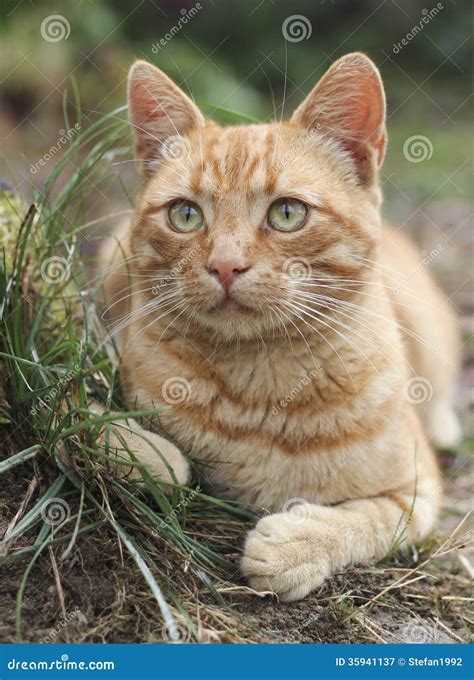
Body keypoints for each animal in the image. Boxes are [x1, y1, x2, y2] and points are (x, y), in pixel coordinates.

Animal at [99, 55, 460, 604]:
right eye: (185, 214)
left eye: (287, 213)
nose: (225, 265)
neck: (261, 386)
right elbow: (82, 416)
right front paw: (152, 456)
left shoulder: (416, 491)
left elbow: (367, 520)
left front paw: (295, 546)